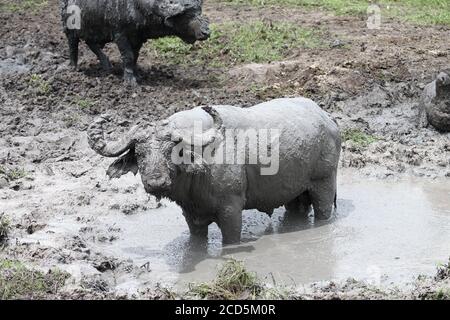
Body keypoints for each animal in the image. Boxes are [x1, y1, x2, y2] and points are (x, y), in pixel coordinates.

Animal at [58, 0, 211, 83]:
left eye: (199, 12)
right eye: (188, 15)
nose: (206, 32)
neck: (137, 7)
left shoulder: (138, 37)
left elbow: (135, 56)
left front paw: (137, 75)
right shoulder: (120, 35)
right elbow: (128, 56)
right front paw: (130, 81)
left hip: (95, 29)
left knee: (91, 43)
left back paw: (107, 65)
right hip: (69, 28)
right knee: (73, 45)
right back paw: (73, 68)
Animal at [88, 99, 342, 244]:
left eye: (173, 151)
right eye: (140, 153)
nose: (156, 182)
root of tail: (328, 119)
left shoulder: (231, 209)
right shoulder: (191, 215)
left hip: (324, 181)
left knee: (323, 210)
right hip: (296, 192)